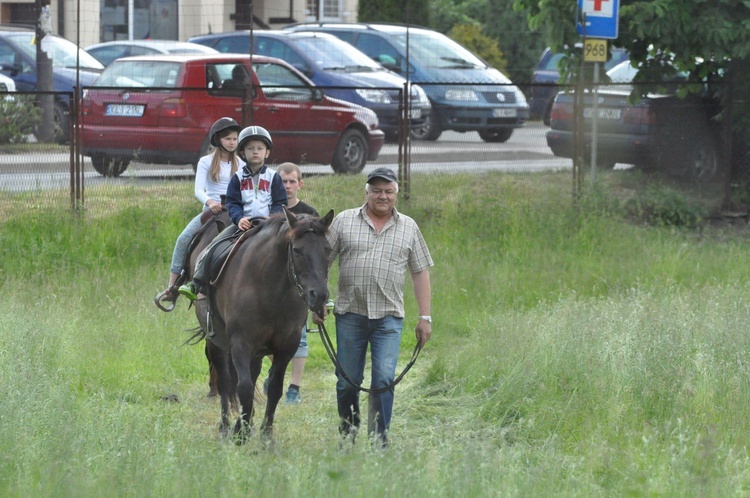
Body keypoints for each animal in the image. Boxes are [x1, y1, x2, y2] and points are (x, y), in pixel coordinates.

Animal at [195, 208, 334, 442]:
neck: (270, 289)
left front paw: (265, 434)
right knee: (225, 382)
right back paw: (225, 426)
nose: (319, 296)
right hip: (216, 343)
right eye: (297, 250)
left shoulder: (287, 347)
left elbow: (274, 388)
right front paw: (239, 433)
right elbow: (243, 387)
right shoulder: (240, 343)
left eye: (328, 249)